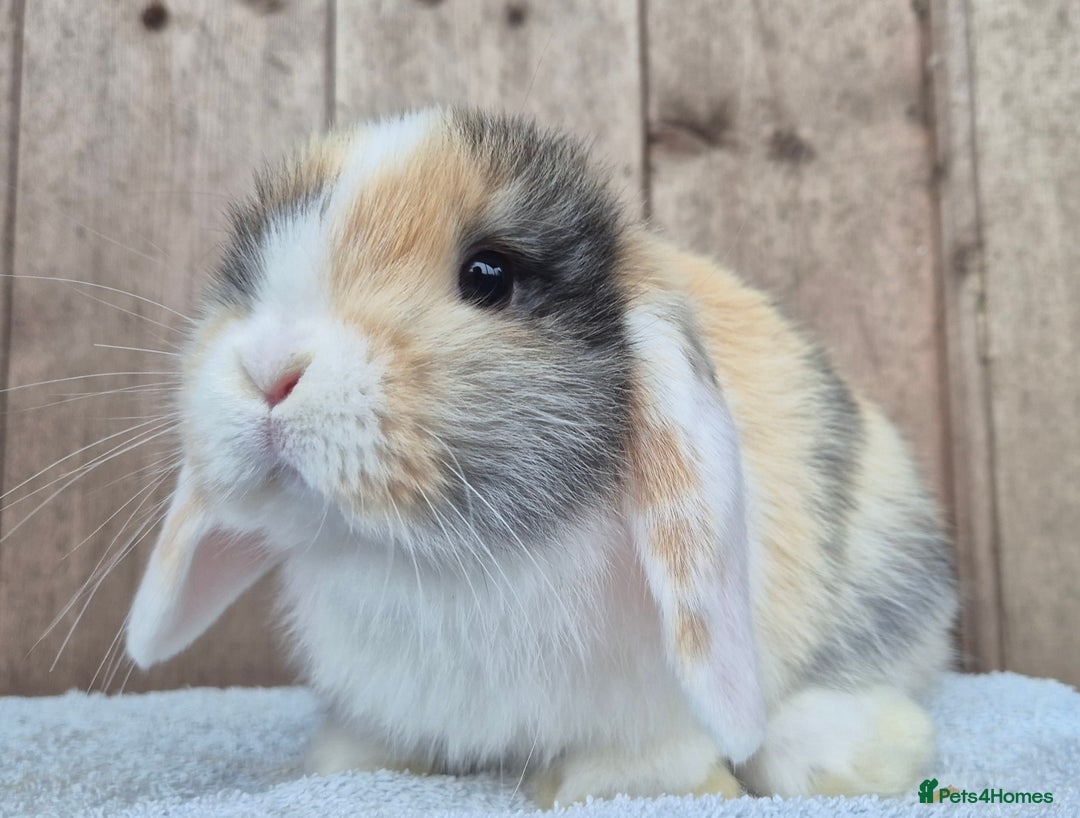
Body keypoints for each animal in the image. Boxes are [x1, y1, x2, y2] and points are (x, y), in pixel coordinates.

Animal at [124, 107, 957, 806]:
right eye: (250, 276)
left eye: (489, 276)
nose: (268, 367)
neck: (440, 562)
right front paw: (349, 759)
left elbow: (656, 754)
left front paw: (598, 785)